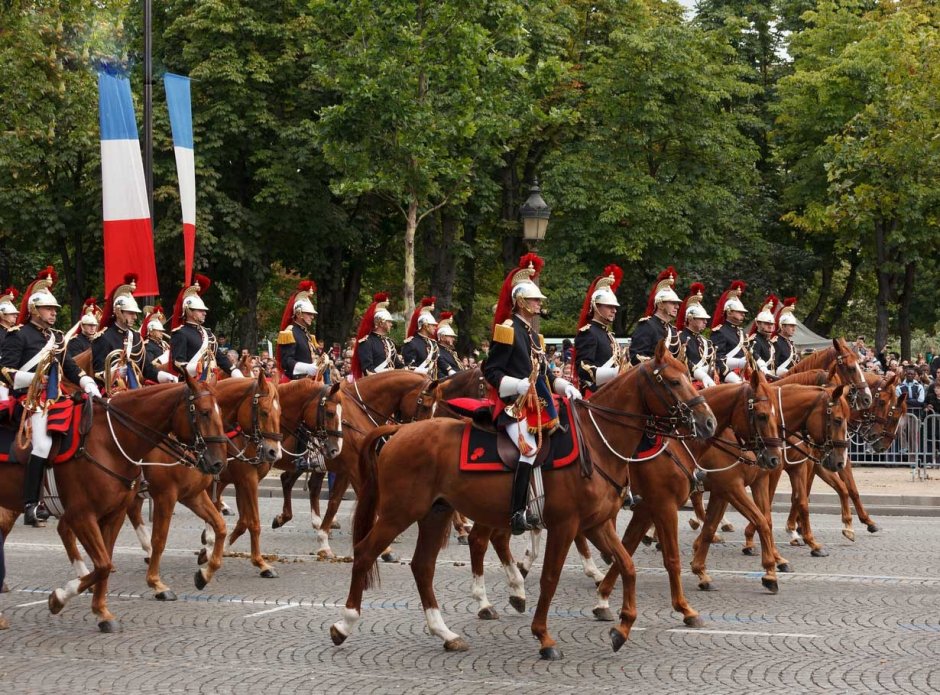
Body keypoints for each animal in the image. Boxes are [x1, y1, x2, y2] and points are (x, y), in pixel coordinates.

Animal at [0, 378, 228, 632]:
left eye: (220, 411)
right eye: (205, 412)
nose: (218, 463)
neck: (109, 443)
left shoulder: (129, 510)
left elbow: (220, 527)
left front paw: (101, 612)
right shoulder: (91, 513)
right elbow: (124, 556)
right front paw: (59, 597)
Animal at [328, 346, 712, 660]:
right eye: (674, 381)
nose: (707, 422)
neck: (599, 441)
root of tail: (400, 430)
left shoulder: (598, 523)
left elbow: (627, 565)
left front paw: (622, 626)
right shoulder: (568, 524)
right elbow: (551, 577)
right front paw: (544, 637)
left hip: (436, 513)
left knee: (424, 566)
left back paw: (446, 632)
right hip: (399, 512)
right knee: (365, 552)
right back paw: (345, 623)